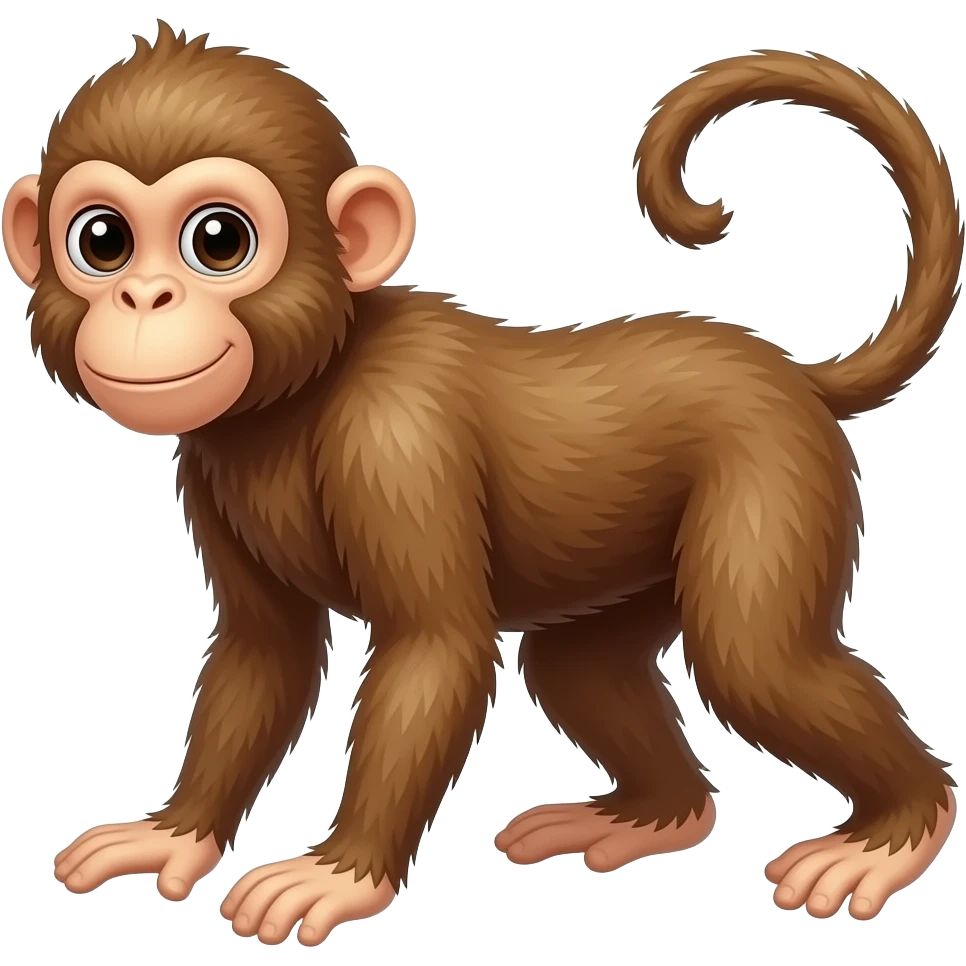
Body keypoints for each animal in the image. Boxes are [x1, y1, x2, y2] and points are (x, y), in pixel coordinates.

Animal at [6, 24, 960, 945]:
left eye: (218, 241)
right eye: (102, 241)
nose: (144, 298)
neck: (300, 392)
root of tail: (794, 376)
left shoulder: (394, 440)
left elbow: (435, 647)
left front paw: (342, 873)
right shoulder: (203, 470)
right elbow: (263, 652)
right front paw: (173, 834)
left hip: (776, 469)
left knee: (755, 662)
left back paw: (895, 830)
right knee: (579, 669)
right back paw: (653, 815)